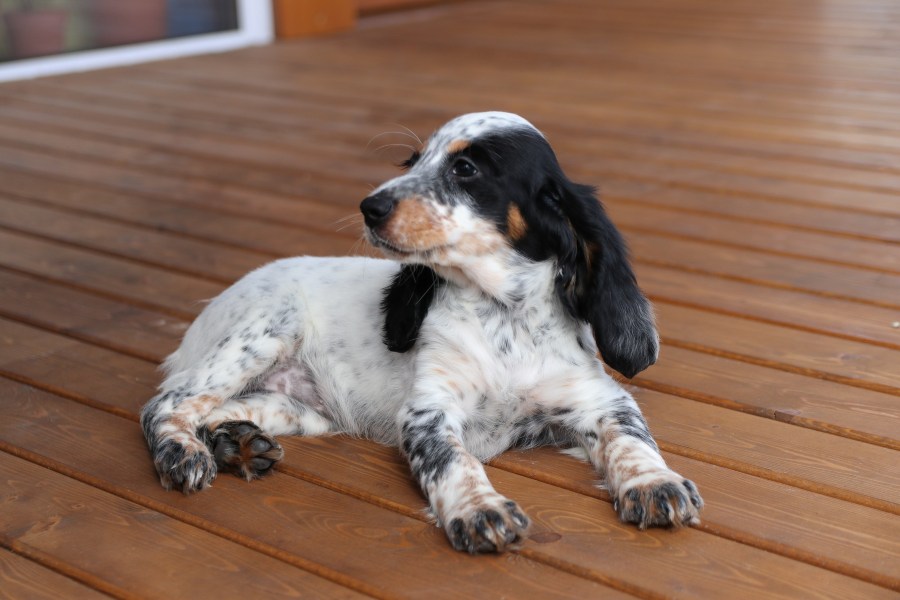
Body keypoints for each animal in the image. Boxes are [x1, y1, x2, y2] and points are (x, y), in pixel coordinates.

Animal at [141, 111, 704, 552]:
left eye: (465, 168)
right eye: (411, 163)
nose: (369, 207)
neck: (503, 318)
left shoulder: (597, 398)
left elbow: (632, 438)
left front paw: (655, 483)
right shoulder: (429, 411)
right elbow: (454, 462)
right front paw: (479, 510)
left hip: (298, 408)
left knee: (215, 409)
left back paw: (235, 442)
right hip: (263, 332)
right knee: (165, 404)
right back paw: (184, 454)